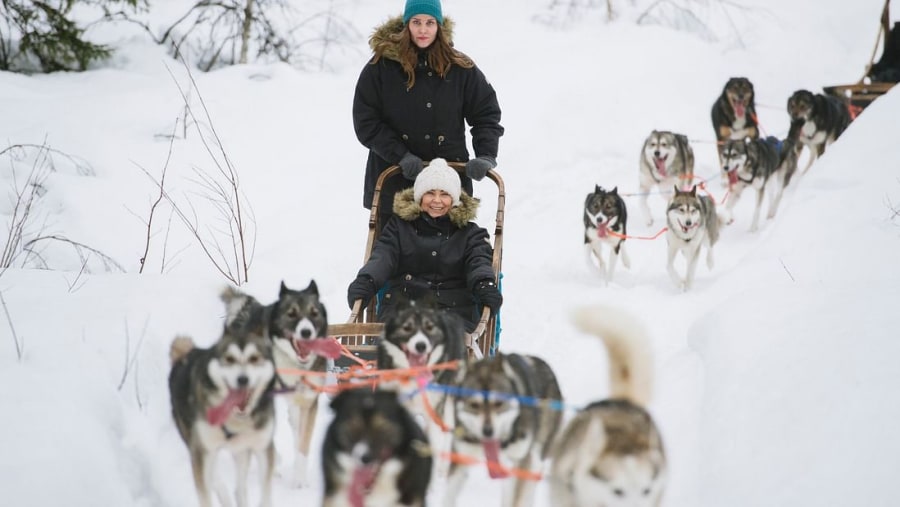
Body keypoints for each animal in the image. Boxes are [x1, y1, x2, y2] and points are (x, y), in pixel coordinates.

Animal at [169, 322, 278, 507]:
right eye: (229, 359)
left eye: (254, 358)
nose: (243, 379)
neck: (236, 418)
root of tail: (185, 355)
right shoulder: (201, 450)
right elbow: (206, 494)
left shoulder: (262, 447)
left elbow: (265, 494)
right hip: (197, 443)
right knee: (215, 479)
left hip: (241, 450)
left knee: (239, 488)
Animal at [223, 282, 336, 488]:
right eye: (291, 313)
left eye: (314, 313)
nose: (306, 332)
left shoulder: (308, 402)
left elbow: (303, 443)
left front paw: (299, 479)